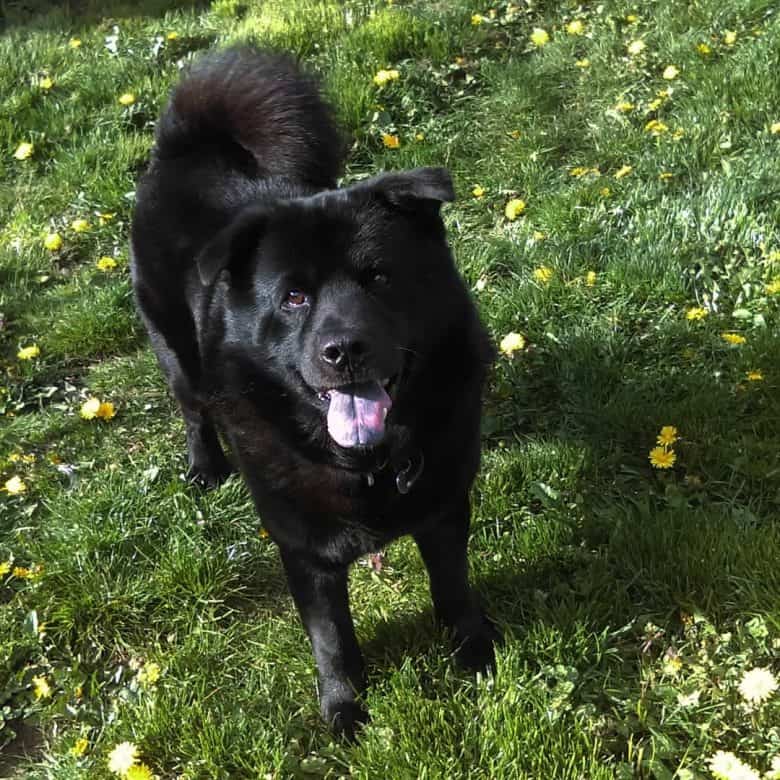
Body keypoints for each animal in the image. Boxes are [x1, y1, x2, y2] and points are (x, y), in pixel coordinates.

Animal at [131, 45, 496, 736]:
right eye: (295, 297)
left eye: (380, 278)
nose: (343, 349)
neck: (368, 466)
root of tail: (187, 145)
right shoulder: (304, 551)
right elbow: (332, 638)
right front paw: (345, 708)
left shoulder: (442, 509)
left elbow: (453, 587)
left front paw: (474, 652)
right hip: (173, 350)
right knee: (192, 408)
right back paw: (204, 465)